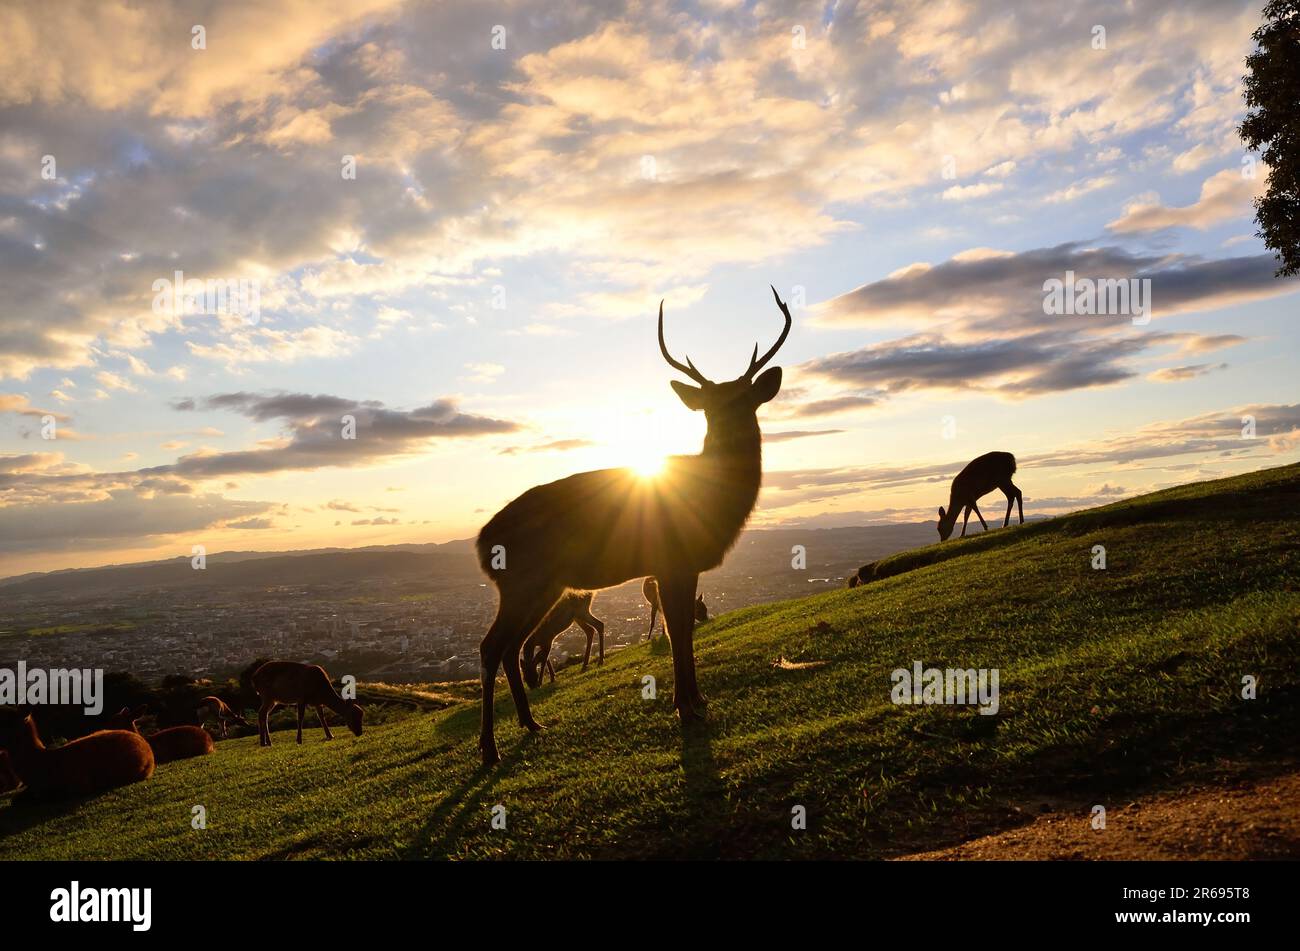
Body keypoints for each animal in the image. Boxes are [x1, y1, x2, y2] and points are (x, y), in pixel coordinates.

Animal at [473, 284, 785, 763]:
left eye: (745, 399)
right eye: (710, 408)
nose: (729, 427)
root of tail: (481, 542)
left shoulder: (683, 566)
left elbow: (683, 626)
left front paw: (698, 700)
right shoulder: (672, 561)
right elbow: (676, 629)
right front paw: (685, 707)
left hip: (543, 588)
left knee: (512, 647)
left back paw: (531, 723)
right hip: (522, 582)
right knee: (492, 647)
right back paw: (490, 749)